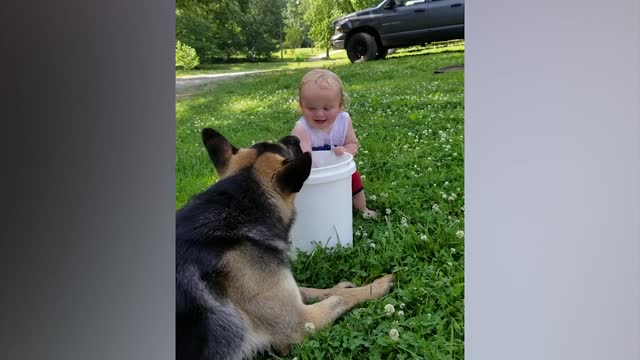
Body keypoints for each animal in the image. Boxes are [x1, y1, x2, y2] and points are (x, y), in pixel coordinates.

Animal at [176, 128, 396, 358]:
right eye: (286, 149)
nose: (295, 137)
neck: (238, 203)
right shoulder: (300, 323)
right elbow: (341, 299)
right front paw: (375, 286)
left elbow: (309, 290)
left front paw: (339, 287)